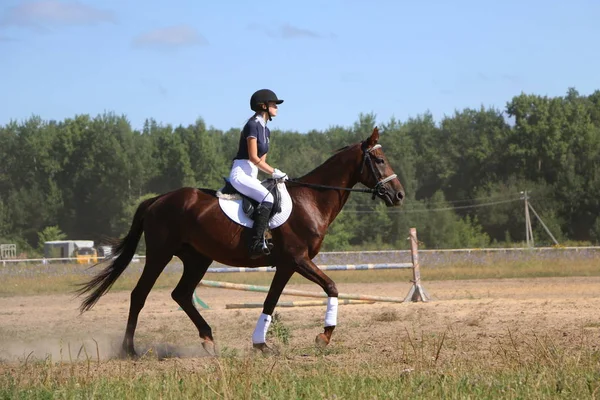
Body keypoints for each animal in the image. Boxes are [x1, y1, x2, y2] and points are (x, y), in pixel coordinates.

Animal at [75, 126, 404, 354]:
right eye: (379, 159)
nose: (399, 195)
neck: (311, 200)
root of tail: (157, 200)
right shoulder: (298, 260)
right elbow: (331, 287)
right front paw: (323, 336)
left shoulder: (287, 265)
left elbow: (271, 301)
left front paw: (261, 345)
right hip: (160, 254)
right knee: (140, 295)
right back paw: (129, 349)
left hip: (197, 258)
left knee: (181, 294)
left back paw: (208, 340)